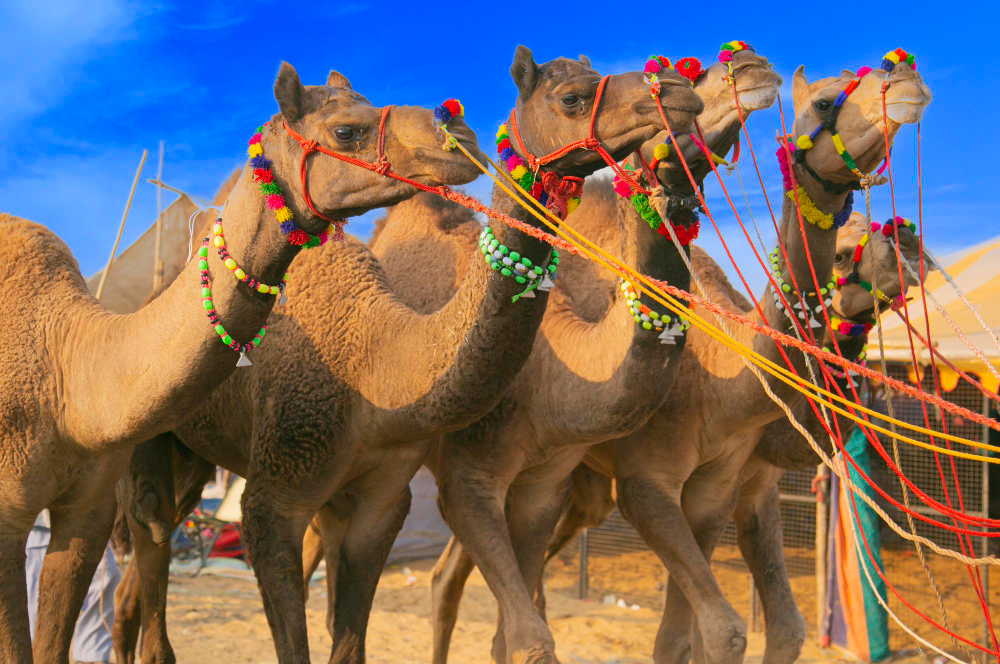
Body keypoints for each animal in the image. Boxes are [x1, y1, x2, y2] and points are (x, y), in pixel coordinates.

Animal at [109, 48, 700, 664]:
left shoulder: (383, 501)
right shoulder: (276, 499)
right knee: (150, 530)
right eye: (572, 98)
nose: (676, 88)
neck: (375, 366)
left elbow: (351, 641)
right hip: (154, 440)